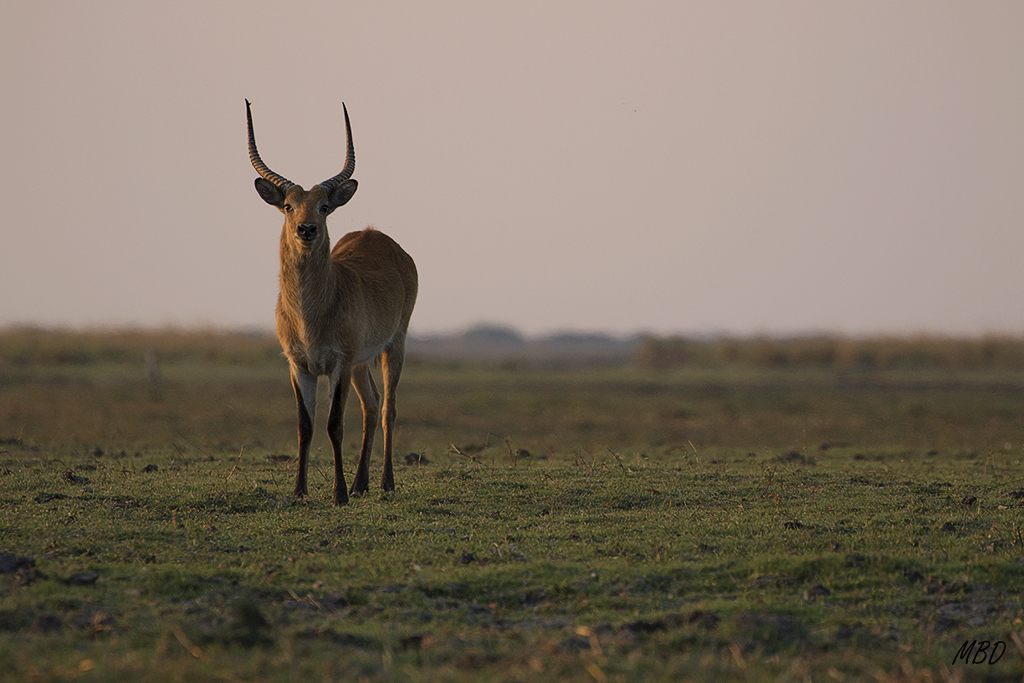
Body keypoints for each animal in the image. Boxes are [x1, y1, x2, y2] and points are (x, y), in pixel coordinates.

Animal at [246, 100, 418, 506]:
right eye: (288, 205)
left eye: (324, 206)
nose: (306, 229)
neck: (312, 314)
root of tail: (380, 237)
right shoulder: (300, 365)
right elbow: (305, 425)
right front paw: (299, 492)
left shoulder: (338, 362)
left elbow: (335, 423)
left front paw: (338, 494)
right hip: (361, 362)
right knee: (371, 404)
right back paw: (360, 485)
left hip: (393, 346)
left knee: (388, 408)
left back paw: (384, 483)